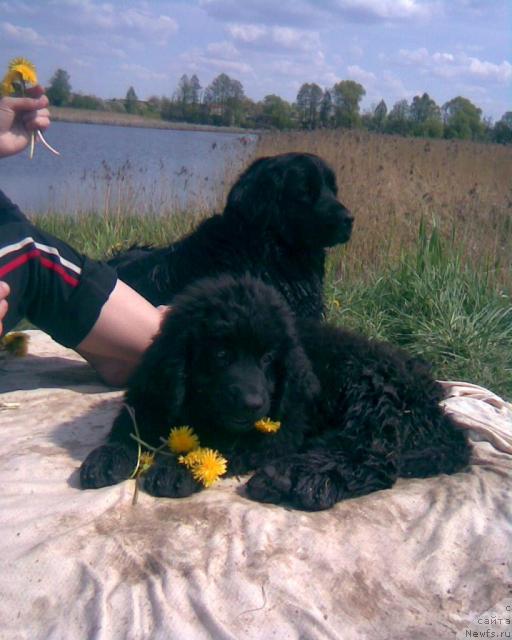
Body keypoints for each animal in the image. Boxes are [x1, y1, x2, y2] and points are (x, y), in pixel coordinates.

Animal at [81, 276, 472, 510]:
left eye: (269, 358)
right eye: (221, 354)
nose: (253, 404)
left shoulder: (282, 428)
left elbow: (226, 445)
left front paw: (180, 469)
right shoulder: (150, 396)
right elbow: (129, 427)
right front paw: (108, 457)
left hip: (369, 392)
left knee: (374, 457)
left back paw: (301, 481)